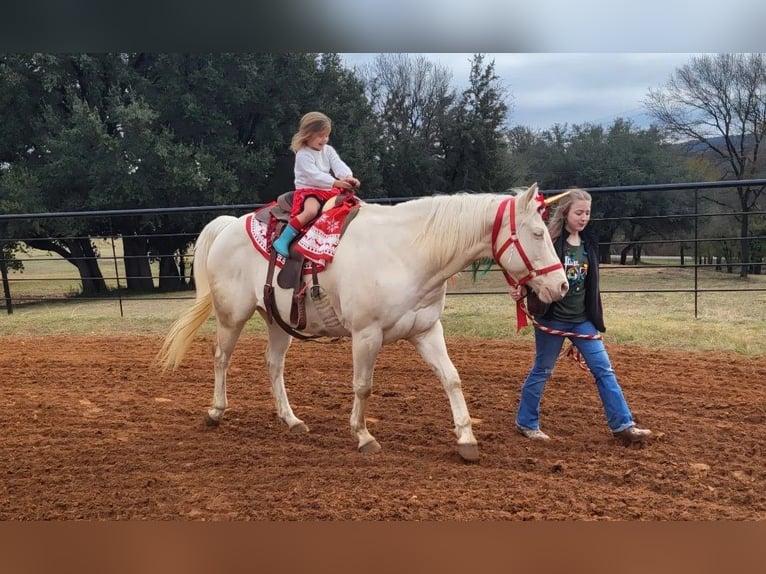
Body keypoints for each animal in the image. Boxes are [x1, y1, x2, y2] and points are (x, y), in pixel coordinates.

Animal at [156, 183, 569, 462]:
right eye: (537, 233)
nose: (561, 285)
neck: (407, 254)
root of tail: (229, 225)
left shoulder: (426, 332)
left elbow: (451, 379)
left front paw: (466, 440)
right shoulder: (366, 335)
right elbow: (363, 386)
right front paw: (364, 436)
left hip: (276, 321)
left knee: (273, 365)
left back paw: (291, 420)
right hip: (232, 316)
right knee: (221, 359)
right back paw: (215, 411)